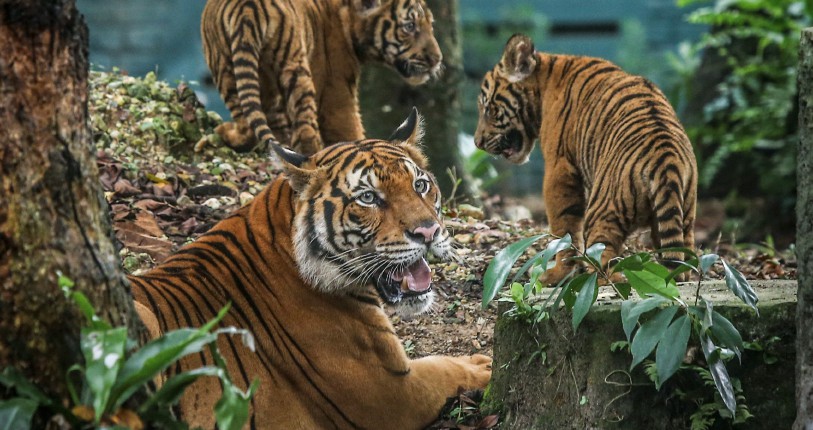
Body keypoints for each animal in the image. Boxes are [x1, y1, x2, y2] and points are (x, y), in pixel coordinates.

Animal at [128, 109, 488, 428]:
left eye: (420, 185)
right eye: (368, 198)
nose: (429, 232)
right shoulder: (393, 390)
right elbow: (444, 368)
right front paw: (485, 364)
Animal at [199, 0, 440, 156]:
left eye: (431, 24)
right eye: (410, 26)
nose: (437, 59)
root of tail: (247, 10)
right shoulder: (337, 90)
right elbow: (348, 128)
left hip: (225, 66)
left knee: (249, 121)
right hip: (295, 70)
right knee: (305, 133)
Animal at [476, 32, 696, 282]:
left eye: (488, 109)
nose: (477, 143)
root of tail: (665, 158)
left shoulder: (559, 167)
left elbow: (564, 230)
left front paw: (557, 274)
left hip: (603, 209)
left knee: (604, 265)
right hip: (684, 216)